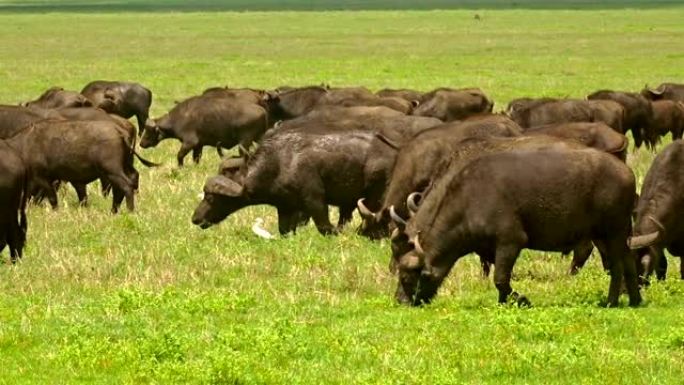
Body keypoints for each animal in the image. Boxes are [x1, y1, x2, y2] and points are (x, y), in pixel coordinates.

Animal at [4, 119, 154, 212]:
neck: (23, 146)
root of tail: (119, 131)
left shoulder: (42, 178)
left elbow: (52, 198)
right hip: (123, 166)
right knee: (130, 180)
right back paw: (113, 211)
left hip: (112, 170)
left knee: (126, 186)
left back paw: (129, 211)